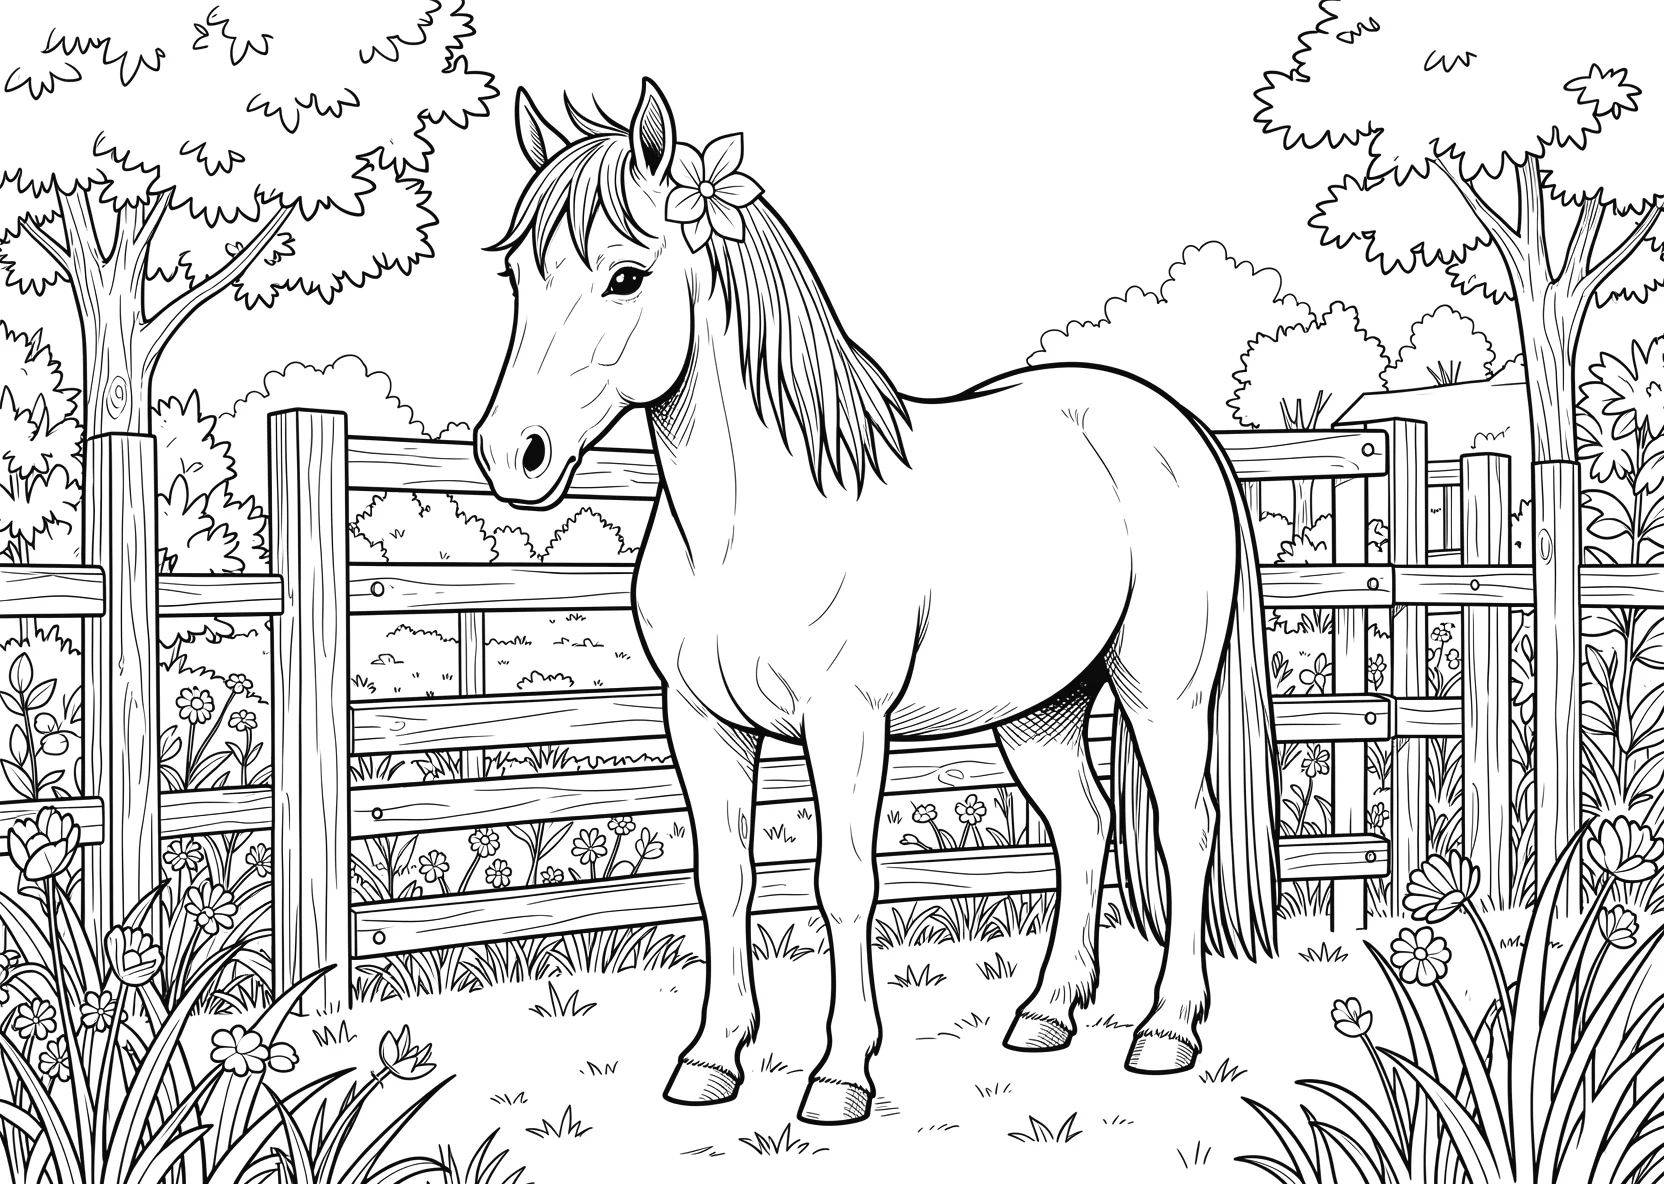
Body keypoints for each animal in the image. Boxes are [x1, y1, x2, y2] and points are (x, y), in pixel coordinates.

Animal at [473, 78, 1280, 1126]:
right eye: (516, 277)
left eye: (625, 277)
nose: (512, 457)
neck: (751, 521)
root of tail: (1172, 426)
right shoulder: (700, 720)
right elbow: (722, 880)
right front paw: (711, 1060)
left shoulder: (845, 719)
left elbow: (844, 884)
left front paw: (840, 1074)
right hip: (1041, 709)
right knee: (1084, 827)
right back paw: (1046, 1014)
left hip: (1163, 689)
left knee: (1187, 829)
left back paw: (1167, 1032)